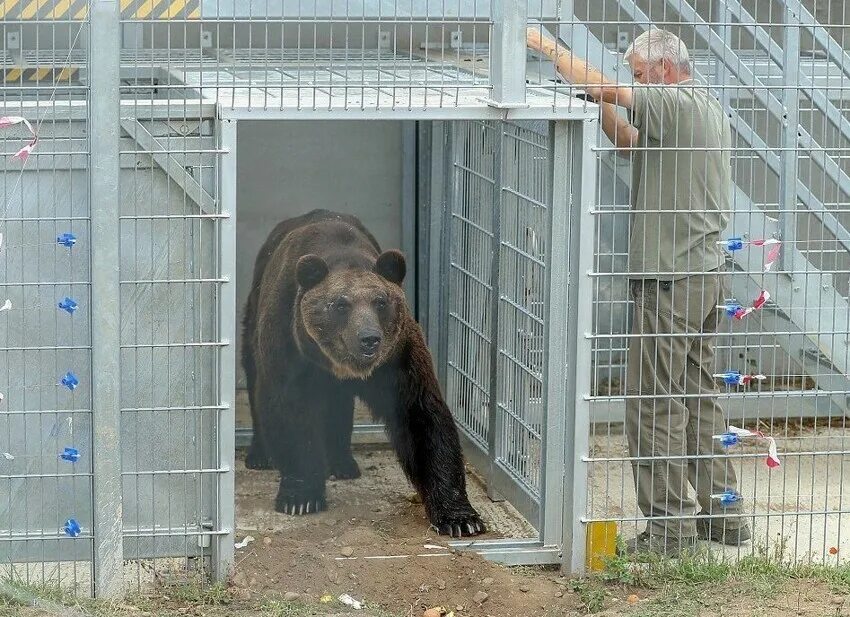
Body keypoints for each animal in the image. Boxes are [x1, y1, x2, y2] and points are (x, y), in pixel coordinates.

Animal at [242, 208, 486, 536]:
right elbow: (288, 409)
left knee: (338, 407)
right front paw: (300, 496)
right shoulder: (289, 343)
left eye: (380, 301)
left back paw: (343, 462)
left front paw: (460, 517)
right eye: (340, 304)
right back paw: (259, 455)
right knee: (254, 377)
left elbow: (422, 417)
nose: (369, 338)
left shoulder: (397, 358)